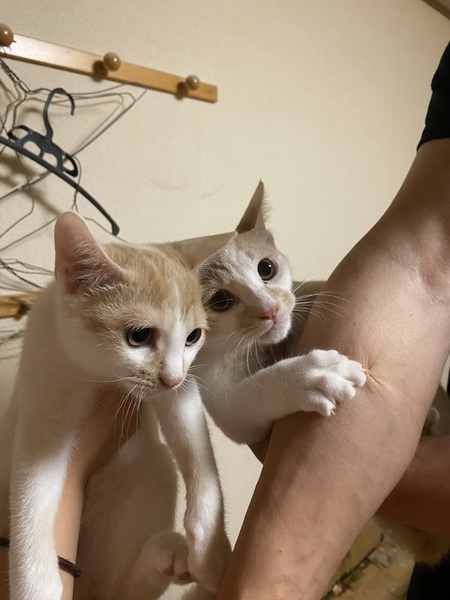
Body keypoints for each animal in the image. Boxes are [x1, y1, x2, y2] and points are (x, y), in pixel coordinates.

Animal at [0, 211, 230, 600]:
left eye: (193, 337)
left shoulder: (178, 392)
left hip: (152, 469)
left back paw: (166, 556)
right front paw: (35, 583)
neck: (96, 373)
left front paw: (211, 550)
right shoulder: (44, 402)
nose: (171, 377)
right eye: (139, 336)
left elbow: (198, 452)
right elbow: (32, 493)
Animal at [195, 181, 367, 446]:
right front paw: (307, 376)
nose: (270, 308)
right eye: (219, 300)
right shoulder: (220, 399)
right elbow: (246, 397)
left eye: (266, 268)